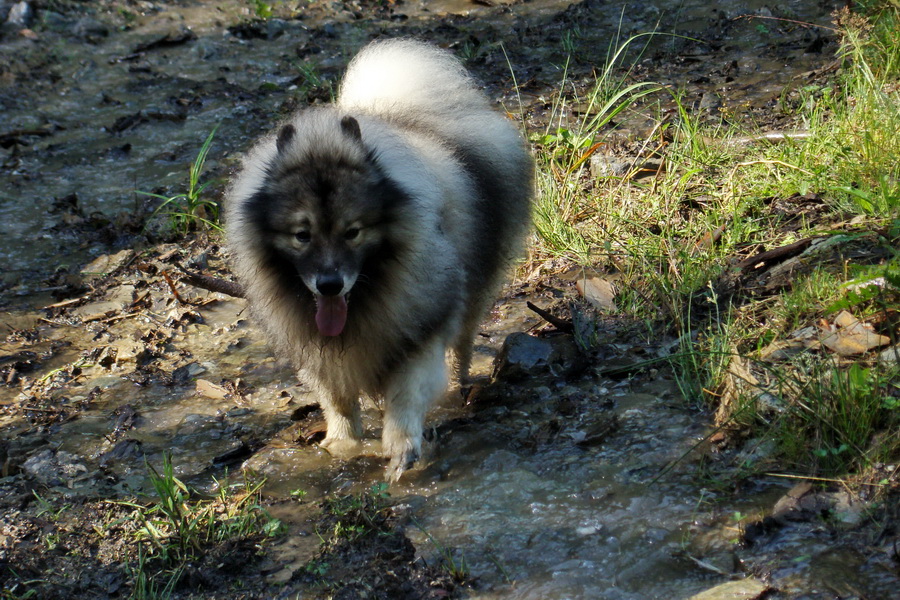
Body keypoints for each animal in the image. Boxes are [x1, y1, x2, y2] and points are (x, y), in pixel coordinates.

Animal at [227, 38, 536, 482]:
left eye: (352, 231)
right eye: (302, 235)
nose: (330, 285)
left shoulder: (418, 330)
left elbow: (405, 395)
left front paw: (402, 447)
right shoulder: (320, 352)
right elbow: (337, 398)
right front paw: (343, 444)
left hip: (474, 288)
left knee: (461, 345)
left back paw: (458, 390)